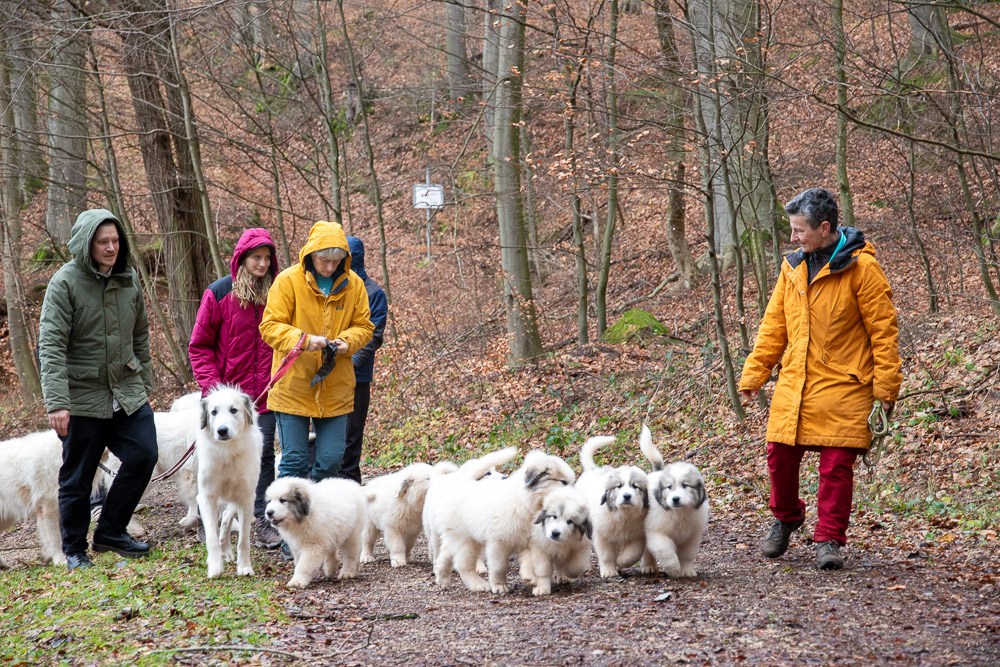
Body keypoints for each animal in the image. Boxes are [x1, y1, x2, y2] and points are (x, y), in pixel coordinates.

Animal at [195, 386, 262, 580]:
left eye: (233, 410)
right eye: (214, 412)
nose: (222, 431)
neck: (227, 453)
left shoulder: (246, 498)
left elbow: (243, 540)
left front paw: (245, 567)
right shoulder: (207, 497)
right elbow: (211, 536)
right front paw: (215, 567)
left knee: (226, 519)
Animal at [424, 448, 576, 596]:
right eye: (563, 482)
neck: (527, 502)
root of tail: (461, 482)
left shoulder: (529, 540)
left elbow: (530, 561)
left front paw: (530, 578)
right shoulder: (498, 542)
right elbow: (499, 567)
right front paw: (500, 586)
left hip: (457, 536)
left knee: (445, 553)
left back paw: (442, 578)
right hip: (466, 540)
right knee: (463, 565)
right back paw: (478, 585)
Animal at [576, 434, 652, 580]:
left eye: (635, 486)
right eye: (619, 486)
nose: (627, 496)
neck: (623, 514)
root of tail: (593, 469)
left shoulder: (637, 534)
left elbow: (632, 554)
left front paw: (620, 563)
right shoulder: (602, 534)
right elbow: (606, 555)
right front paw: (608, 572)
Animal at [640, 428, 712, 580]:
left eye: (685, 485)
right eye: (669, 487)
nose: (675, 499)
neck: (680, 512)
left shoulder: (691, 537)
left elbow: (687, 555)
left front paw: (687, 570)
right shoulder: (656, 532)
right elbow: (666, 550)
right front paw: (673, 569)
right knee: (646, 551)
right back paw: (649, 567)